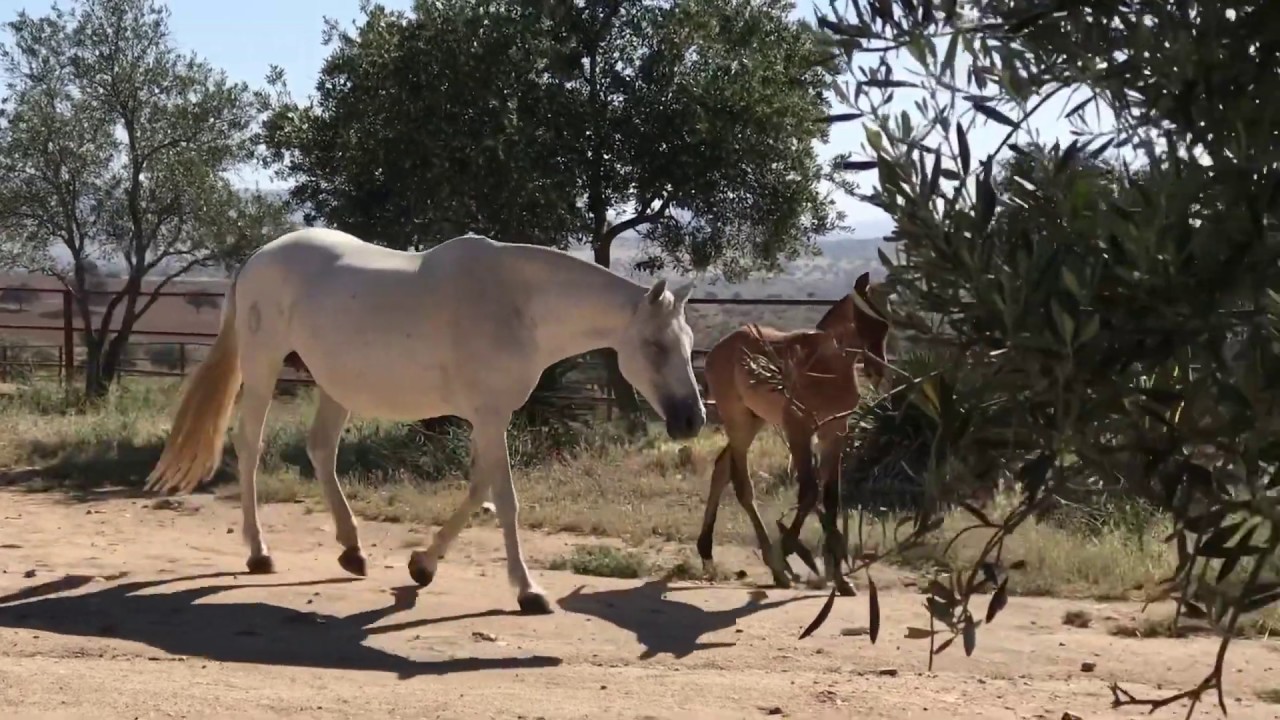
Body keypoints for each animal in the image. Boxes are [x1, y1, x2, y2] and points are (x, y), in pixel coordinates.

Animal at [144, 227, 706, 615]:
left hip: (337, 385)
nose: (691, 420)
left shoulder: (488, 417)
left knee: (321, 448)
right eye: (655, 346)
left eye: (689, 344)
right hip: (262, 368)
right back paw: (260, 553)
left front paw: (422, 565)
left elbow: (479, 489)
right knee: (250, 445)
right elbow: (505, 500)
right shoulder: (489, 415)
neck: (517, 304)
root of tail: (258, 258)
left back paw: (353, 551)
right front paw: (528, 591)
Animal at [696, 272, 890, 594]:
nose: (877, 370)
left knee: (722, 467)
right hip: (737, 419)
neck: (827, 369)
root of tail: (716, 350)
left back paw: (708, 553)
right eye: (864, 319)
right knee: (742, 484)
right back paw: (776, 566)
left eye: (887, 323)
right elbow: (809, 492)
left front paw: (840, 579)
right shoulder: (798, 428)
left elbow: (831, 497)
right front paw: (786, 551)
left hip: (755, 420)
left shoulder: (835, 431)